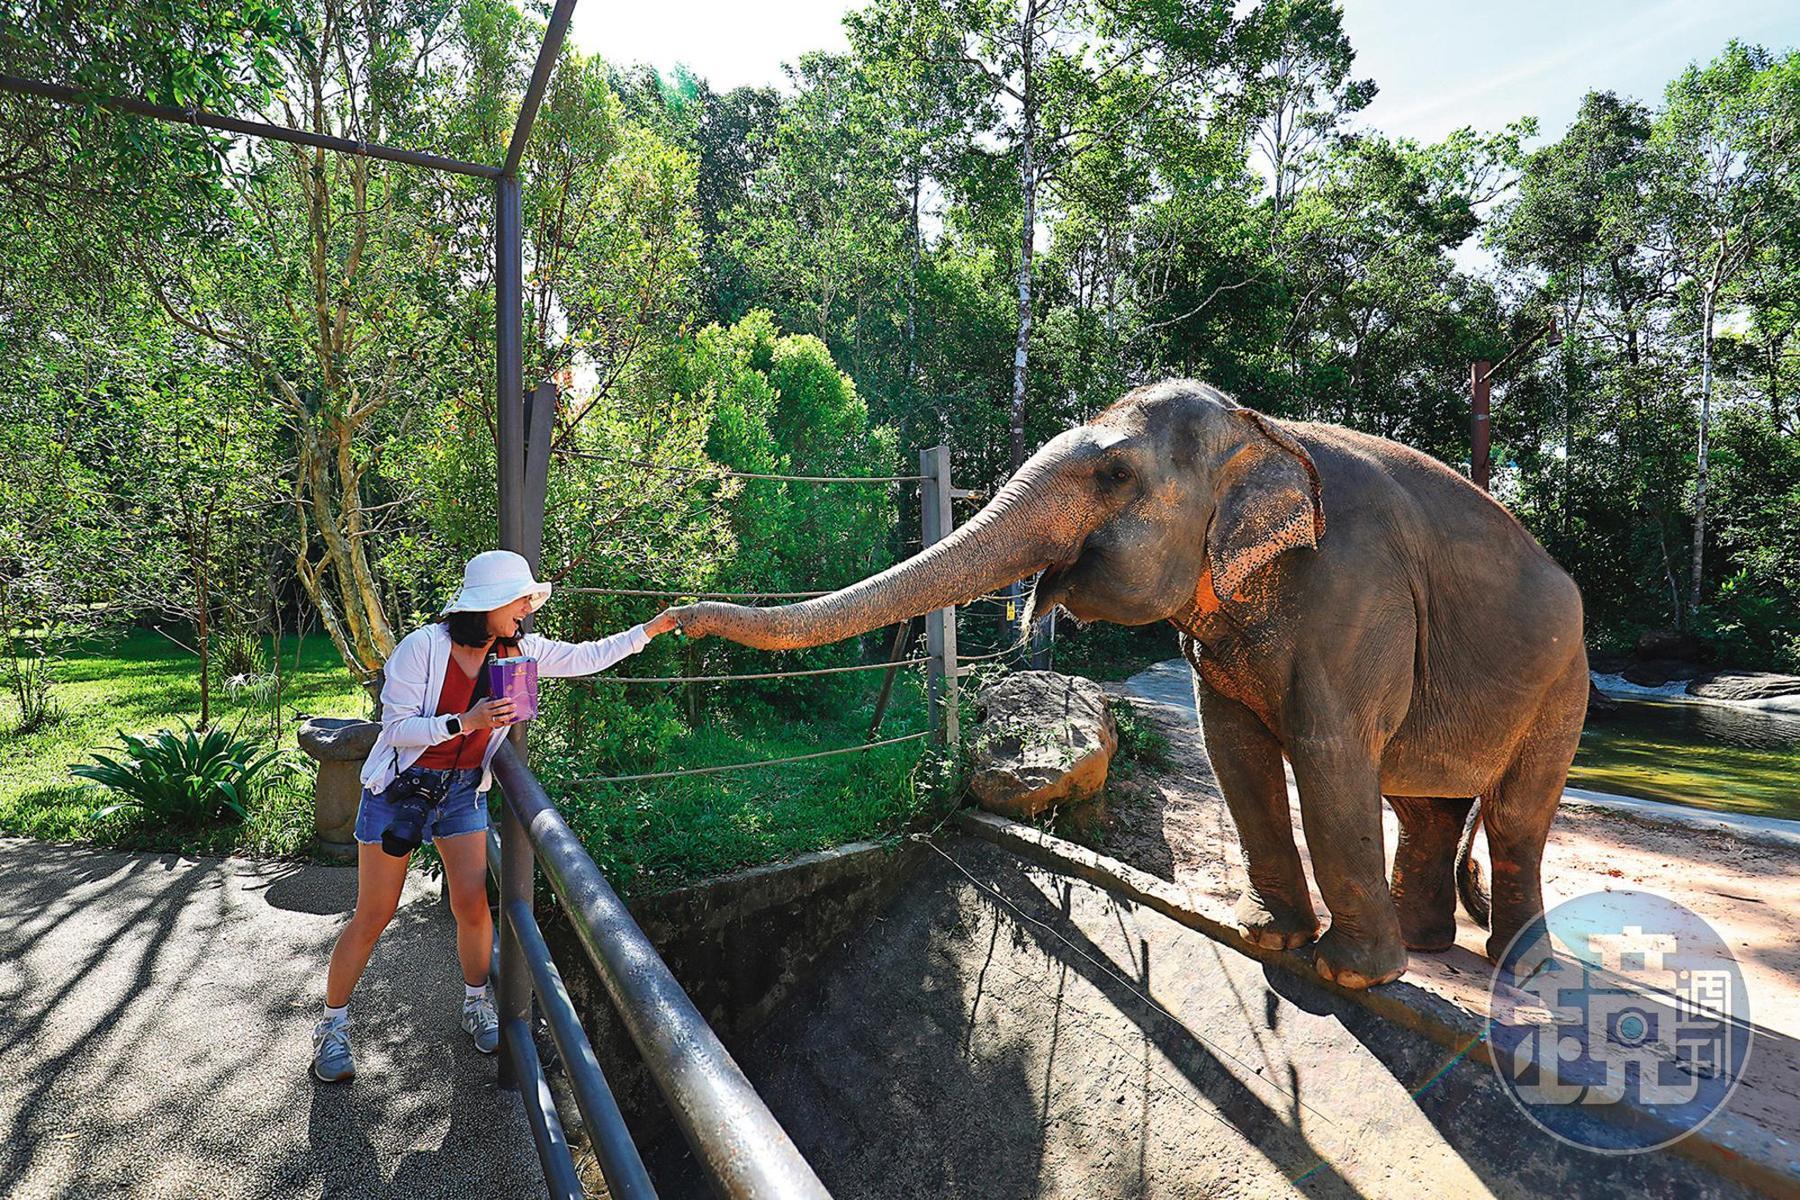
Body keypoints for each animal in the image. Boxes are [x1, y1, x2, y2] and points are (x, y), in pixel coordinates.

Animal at [674, 379, 1588, 989]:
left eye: (1113, 478)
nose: (672, 620)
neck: (1263, 427)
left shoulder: (1355, 597)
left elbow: (1328, 754)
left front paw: (1347, 977)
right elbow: (1232, 751)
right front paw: (1268, 939)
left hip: (1563, 683)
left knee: (1512, 817)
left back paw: (1512, 967)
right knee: (1424, 806)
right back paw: (1431, 949)